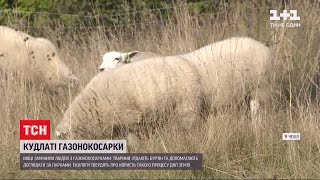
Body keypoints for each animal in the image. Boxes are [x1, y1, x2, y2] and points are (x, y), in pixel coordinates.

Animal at [55, 36, 272, 141]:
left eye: (117, 58)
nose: (100, 69)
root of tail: (260, 43)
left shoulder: (131, 121)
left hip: (260, 87)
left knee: (257, 110)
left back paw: (257, 128)